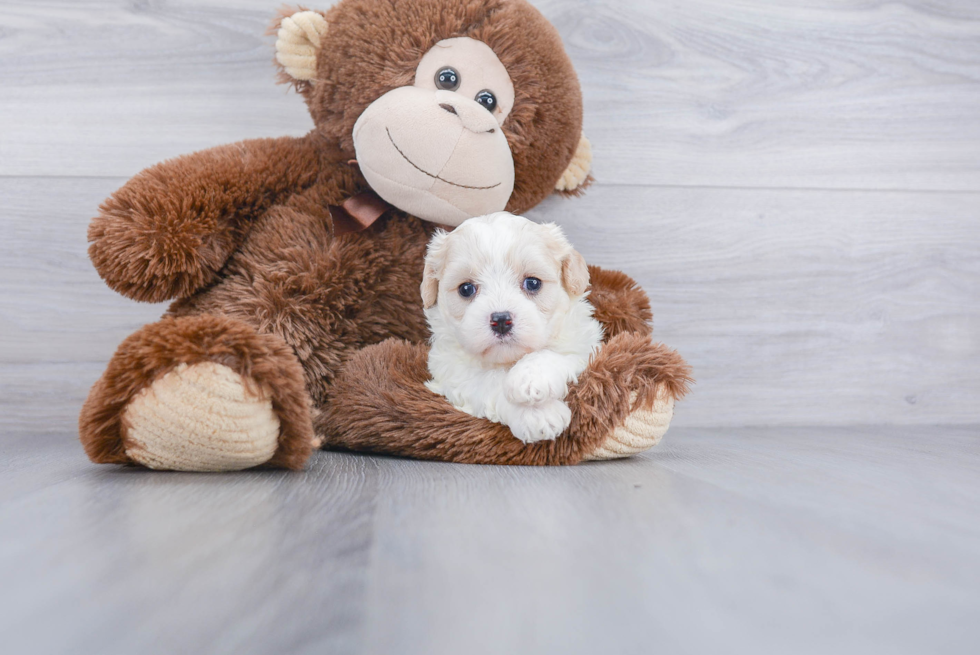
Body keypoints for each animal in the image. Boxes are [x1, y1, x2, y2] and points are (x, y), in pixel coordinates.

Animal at [424, 213, 604, 444]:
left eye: (533, 283)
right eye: (466, 289)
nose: (501, 320)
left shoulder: (584, 345)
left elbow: (552, 354)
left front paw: (530, 378)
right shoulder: (455, 373)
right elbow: (491, 382)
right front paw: (537, 415)